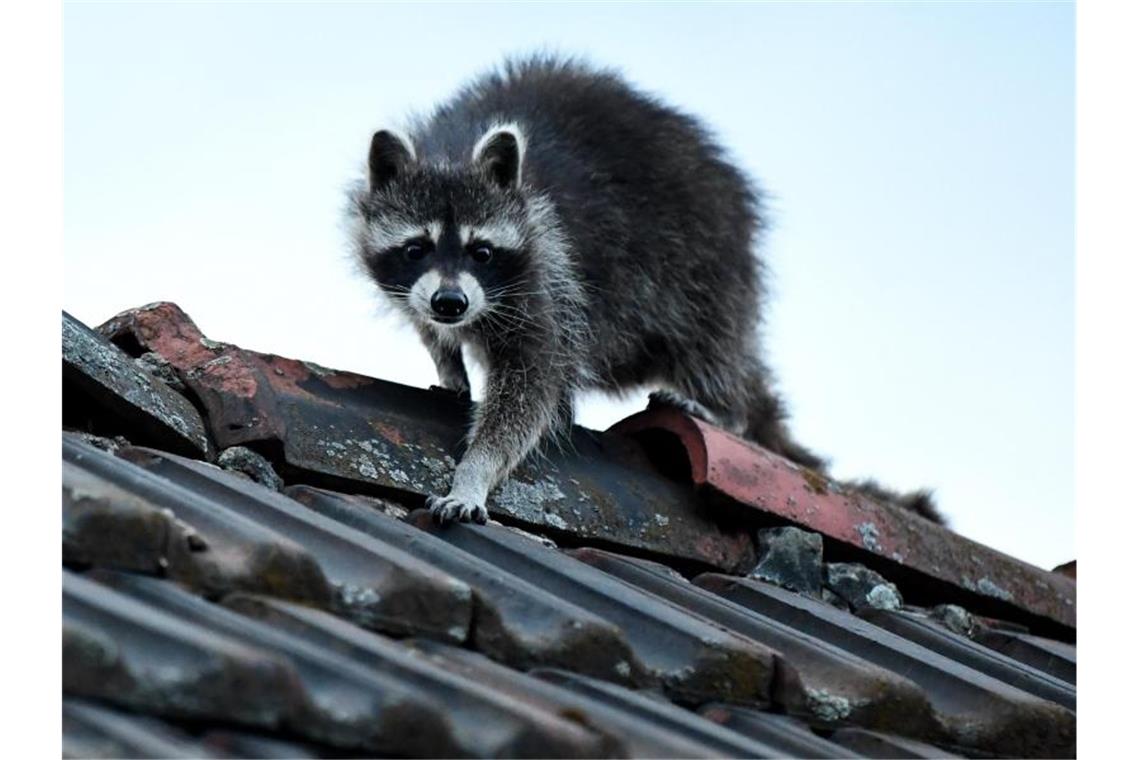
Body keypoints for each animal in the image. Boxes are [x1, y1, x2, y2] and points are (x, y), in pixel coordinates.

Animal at [348, 56, 943, 526]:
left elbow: (529, 391)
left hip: (708, 262)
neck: (450, 151)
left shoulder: (548, 275)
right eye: (417, 249)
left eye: (482, 252)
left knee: (711, 343)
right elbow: (435, 330)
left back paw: (726, 408)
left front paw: (475, 472)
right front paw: (447, 360)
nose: (451, 303)